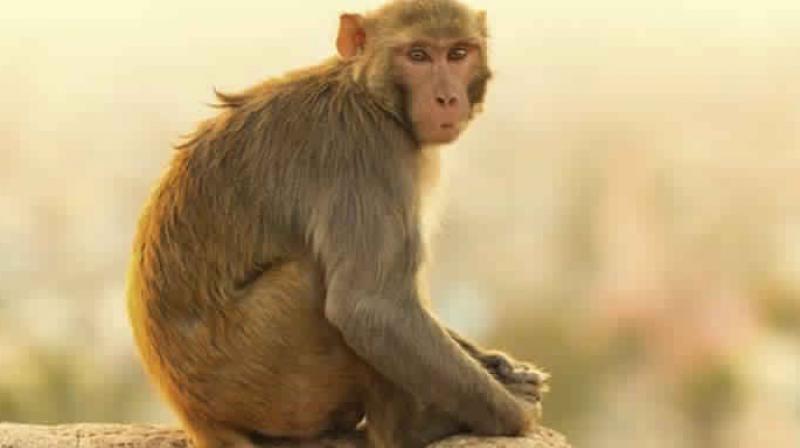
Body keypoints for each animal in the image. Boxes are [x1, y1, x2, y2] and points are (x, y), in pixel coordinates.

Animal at [126, 1, 548, 447]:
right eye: (417, 55)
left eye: (458, 53)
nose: (447, 97)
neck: (371, 96)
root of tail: (194, 415)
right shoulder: (366, 153)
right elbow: (372, 308)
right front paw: (516, 414)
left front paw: (497, 366)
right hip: (259, 380)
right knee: (316, 283)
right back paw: (409, 429)